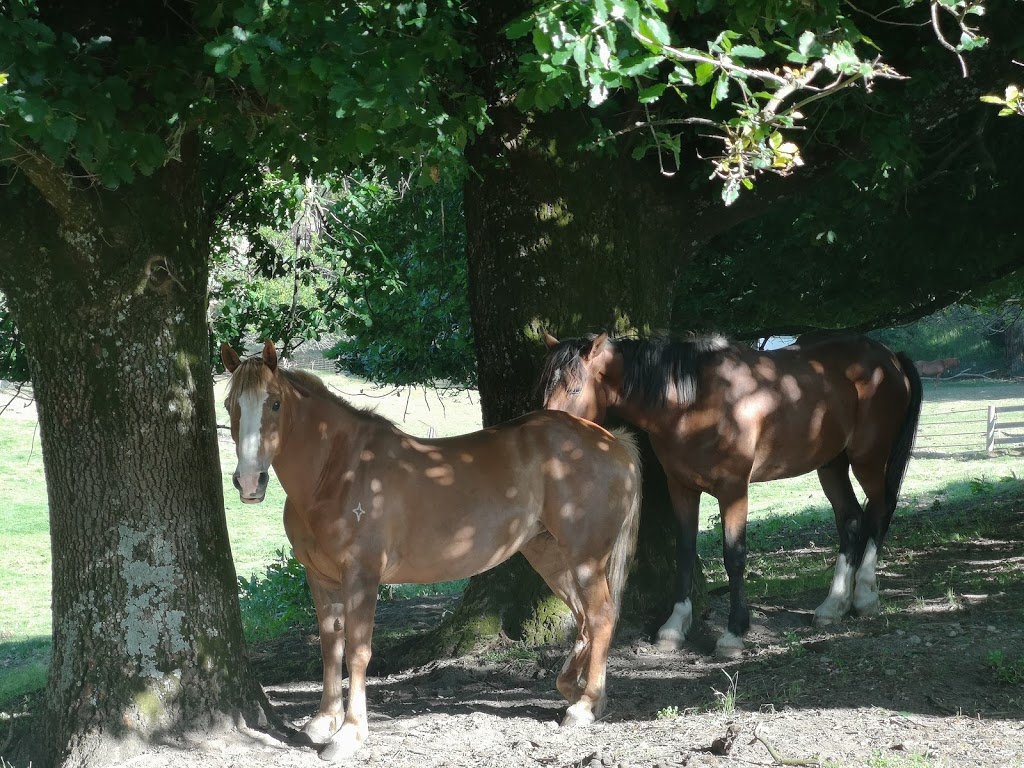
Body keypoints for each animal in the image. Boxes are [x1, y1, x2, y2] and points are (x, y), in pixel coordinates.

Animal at [222, 344, 638, 765]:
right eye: (229, 404)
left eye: (275, 403)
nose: (249, 482)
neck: (340, 470)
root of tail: (611, 441)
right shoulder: (319, 578)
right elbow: (329, 646)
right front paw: (323, 721)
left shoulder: (361, 577)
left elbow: (357, 651)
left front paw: (350, 733)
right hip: (549, 554)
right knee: (584, 619)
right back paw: (573, 689)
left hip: (586, 557)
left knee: (601, 616)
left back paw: (585, 706)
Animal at [540, 333, 925, 659]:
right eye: (544, 387)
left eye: (575, 389)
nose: (547, 437)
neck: (695, 402)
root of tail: (890, 357)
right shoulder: (682, 487)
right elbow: (684, 550)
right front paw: (674, 627)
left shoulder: (733, 489)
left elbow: (734, 556)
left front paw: (734, 633)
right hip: (832, 464)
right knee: (851, 522)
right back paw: (833, 606)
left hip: (869, 460)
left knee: (880, 511)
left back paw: (865, 595)